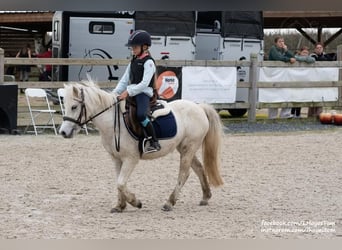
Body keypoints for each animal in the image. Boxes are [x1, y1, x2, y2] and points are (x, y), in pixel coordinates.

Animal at [58, 80, 224, 213]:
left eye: (74, 107)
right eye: (65, 105)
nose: (63, 132)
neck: (113, 122)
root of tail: (199, 107)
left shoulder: (131, 159)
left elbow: (121, 183)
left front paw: (135, 202)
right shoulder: (116, 159)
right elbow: (119, 182)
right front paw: (120, 206)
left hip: (188, 148)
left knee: (184, 173)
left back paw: (169, 203)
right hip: (184, 148)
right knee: (198, 168)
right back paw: (205, 197)